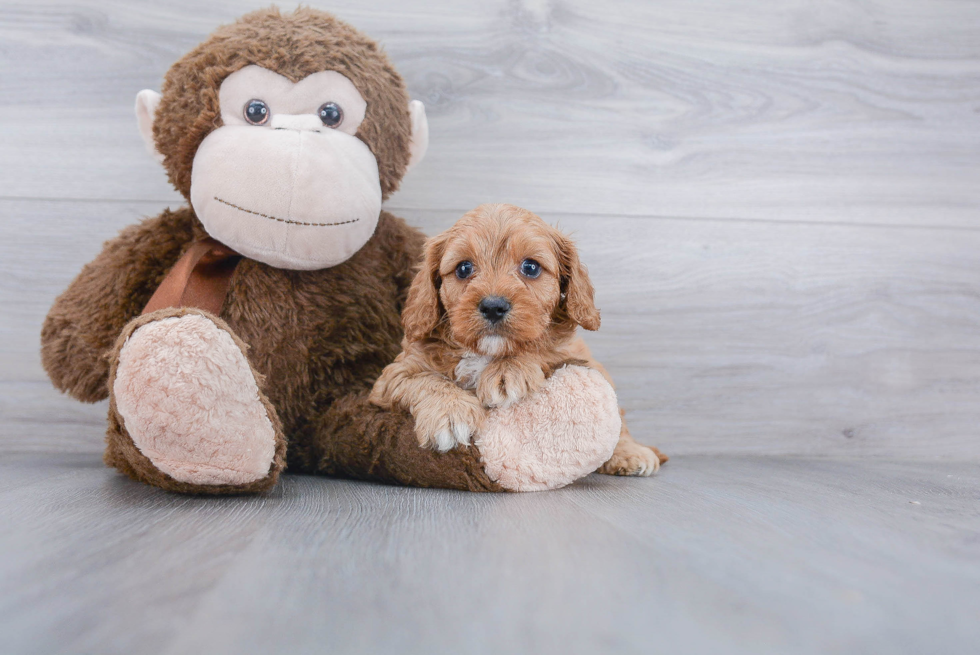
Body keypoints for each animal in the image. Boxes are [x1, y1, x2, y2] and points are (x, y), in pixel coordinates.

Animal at [370, 204, 668, 476]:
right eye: (464, 268)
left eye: (531, 267)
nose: (493, 306)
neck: (486, 353)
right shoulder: (393, 376)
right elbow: (425, 380)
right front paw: (450, 413)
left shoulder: (577, 356)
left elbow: (542, 346)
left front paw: (508, 369)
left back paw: (631, 453)